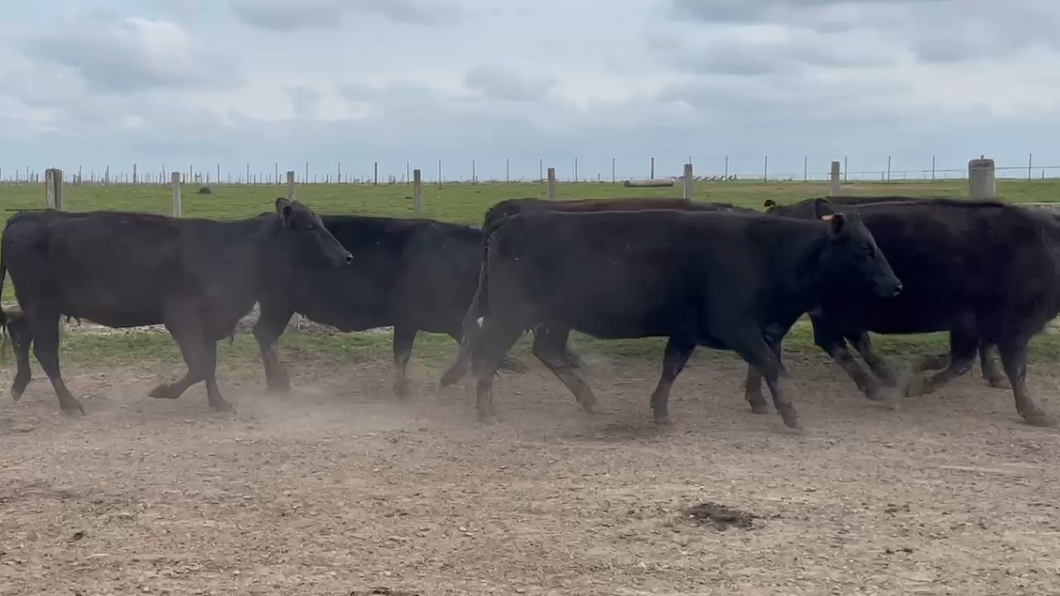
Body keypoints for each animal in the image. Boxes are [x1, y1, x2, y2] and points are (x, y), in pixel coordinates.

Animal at [0, 197, 351, 411]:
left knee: (18, 330)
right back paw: (69, 403)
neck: (235, 250)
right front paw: (164, 391)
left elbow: (209, 364)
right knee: (46, 352)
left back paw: (19, 385)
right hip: (43, 305)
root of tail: (27, 216)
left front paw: (218, 402)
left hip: (40, 307)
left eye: (322, 223)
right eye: (310, 227)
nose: (347, 256)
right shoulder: (183, 319)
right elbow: (200, 365)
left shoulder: (210, 322)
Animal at [252, 213, 525, 394]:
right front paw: (403, 389)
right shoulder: (408, 317)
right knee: (265, 334)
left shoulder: (452, 318)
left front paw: (452, 377)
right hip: (278, 302)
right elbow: (402, 353)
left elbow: (470, 342)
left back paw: (275, 382)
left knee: (263, 333)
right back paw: (280, 383)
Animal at [460, 202, 898, 426]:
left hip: (553, 317)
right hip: (512, 313)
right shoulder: (737, 325)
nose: (896, 285)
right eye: (864, 248)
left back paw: (589, 400)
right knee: (490, 351)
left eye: (875, 243)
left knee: (546, 351)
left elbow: (673, 366)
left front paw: (660, 409)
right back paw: (486, 410)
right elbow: (771, 365)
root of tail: (508, 223)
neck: (769, 251)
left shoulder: (691, 329)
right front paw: (791, 414)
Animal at [754, 197, 1060, 424]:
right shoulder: (1011, 326)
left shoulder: (971, 324)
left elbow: (963, 360)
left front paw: (920, 372)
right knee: (829, 342)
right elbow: (1012, 368)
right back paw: (875, 386)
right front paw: (1034, 413)